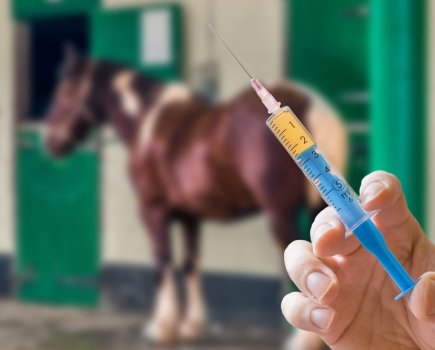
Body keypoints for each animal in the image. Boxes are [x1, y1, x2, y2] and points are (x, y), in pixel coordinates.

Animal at [42, 47, 346, 346]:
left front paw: (162, 328)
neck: (147, 123)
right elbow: (191, 263)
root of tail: (310, 104)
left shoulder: (153, 210)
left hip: (280, 214)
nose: (50, 143)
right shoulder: (190, 214)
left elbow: (162, 262)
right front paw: (193, 327)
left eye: (66, 90)